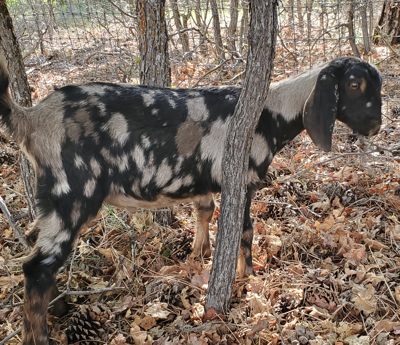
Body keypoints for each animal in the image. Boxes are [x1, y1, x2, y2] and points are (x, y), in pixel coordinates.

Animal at [0, 57, 382, 344]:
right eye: (353, 84)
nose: (376, 124)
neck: (268, 112)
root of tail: (32, 118)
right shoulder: (242, 182)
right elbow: (244, 232)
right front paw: (247, 279)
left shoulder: (205, 185)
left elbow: (205, 213)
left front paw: (199, 256)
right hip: (72, 195)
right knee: (37, 267)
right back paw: (40, 335)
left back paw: (60, 310)